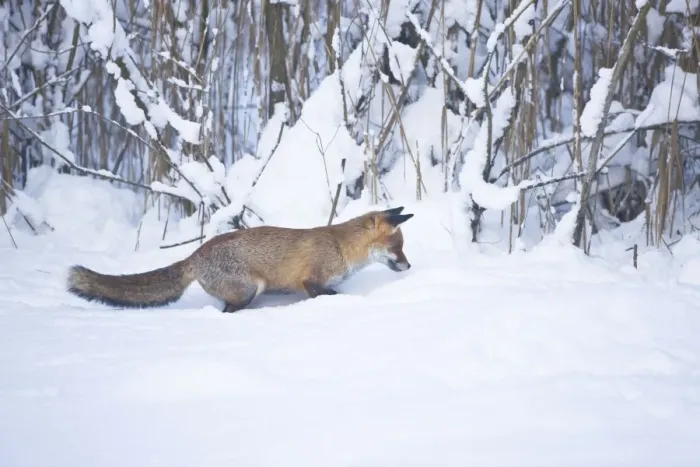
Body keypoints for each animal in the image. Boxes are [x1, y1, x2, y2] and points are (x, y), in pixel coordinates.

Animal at [66, 206, 414, 313]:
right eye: (397, 246)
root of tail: (194, 254)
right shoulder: (310, 280)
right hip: (249, 289)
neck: (342, 248)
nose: (409, 266)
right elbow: (326, 293)